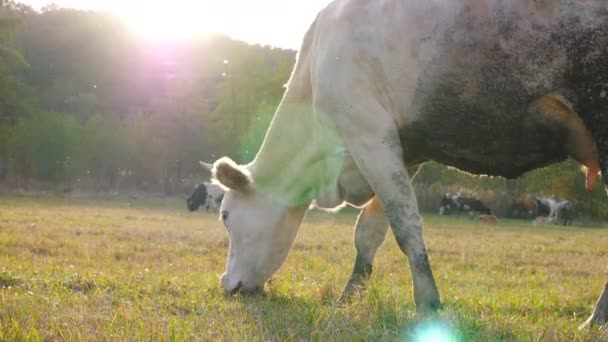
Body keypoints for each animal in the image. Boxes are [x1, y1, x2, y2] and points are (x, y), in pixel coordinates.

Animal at [203, 0, 608, 328]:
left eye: (224, 215)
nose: (226, 284)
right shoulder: (403, 150)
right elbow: (369, 232)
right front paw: (348, 297)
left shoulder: (368, 133)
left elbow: (406, 226)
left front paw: (428, 303)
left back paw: (595, 319)